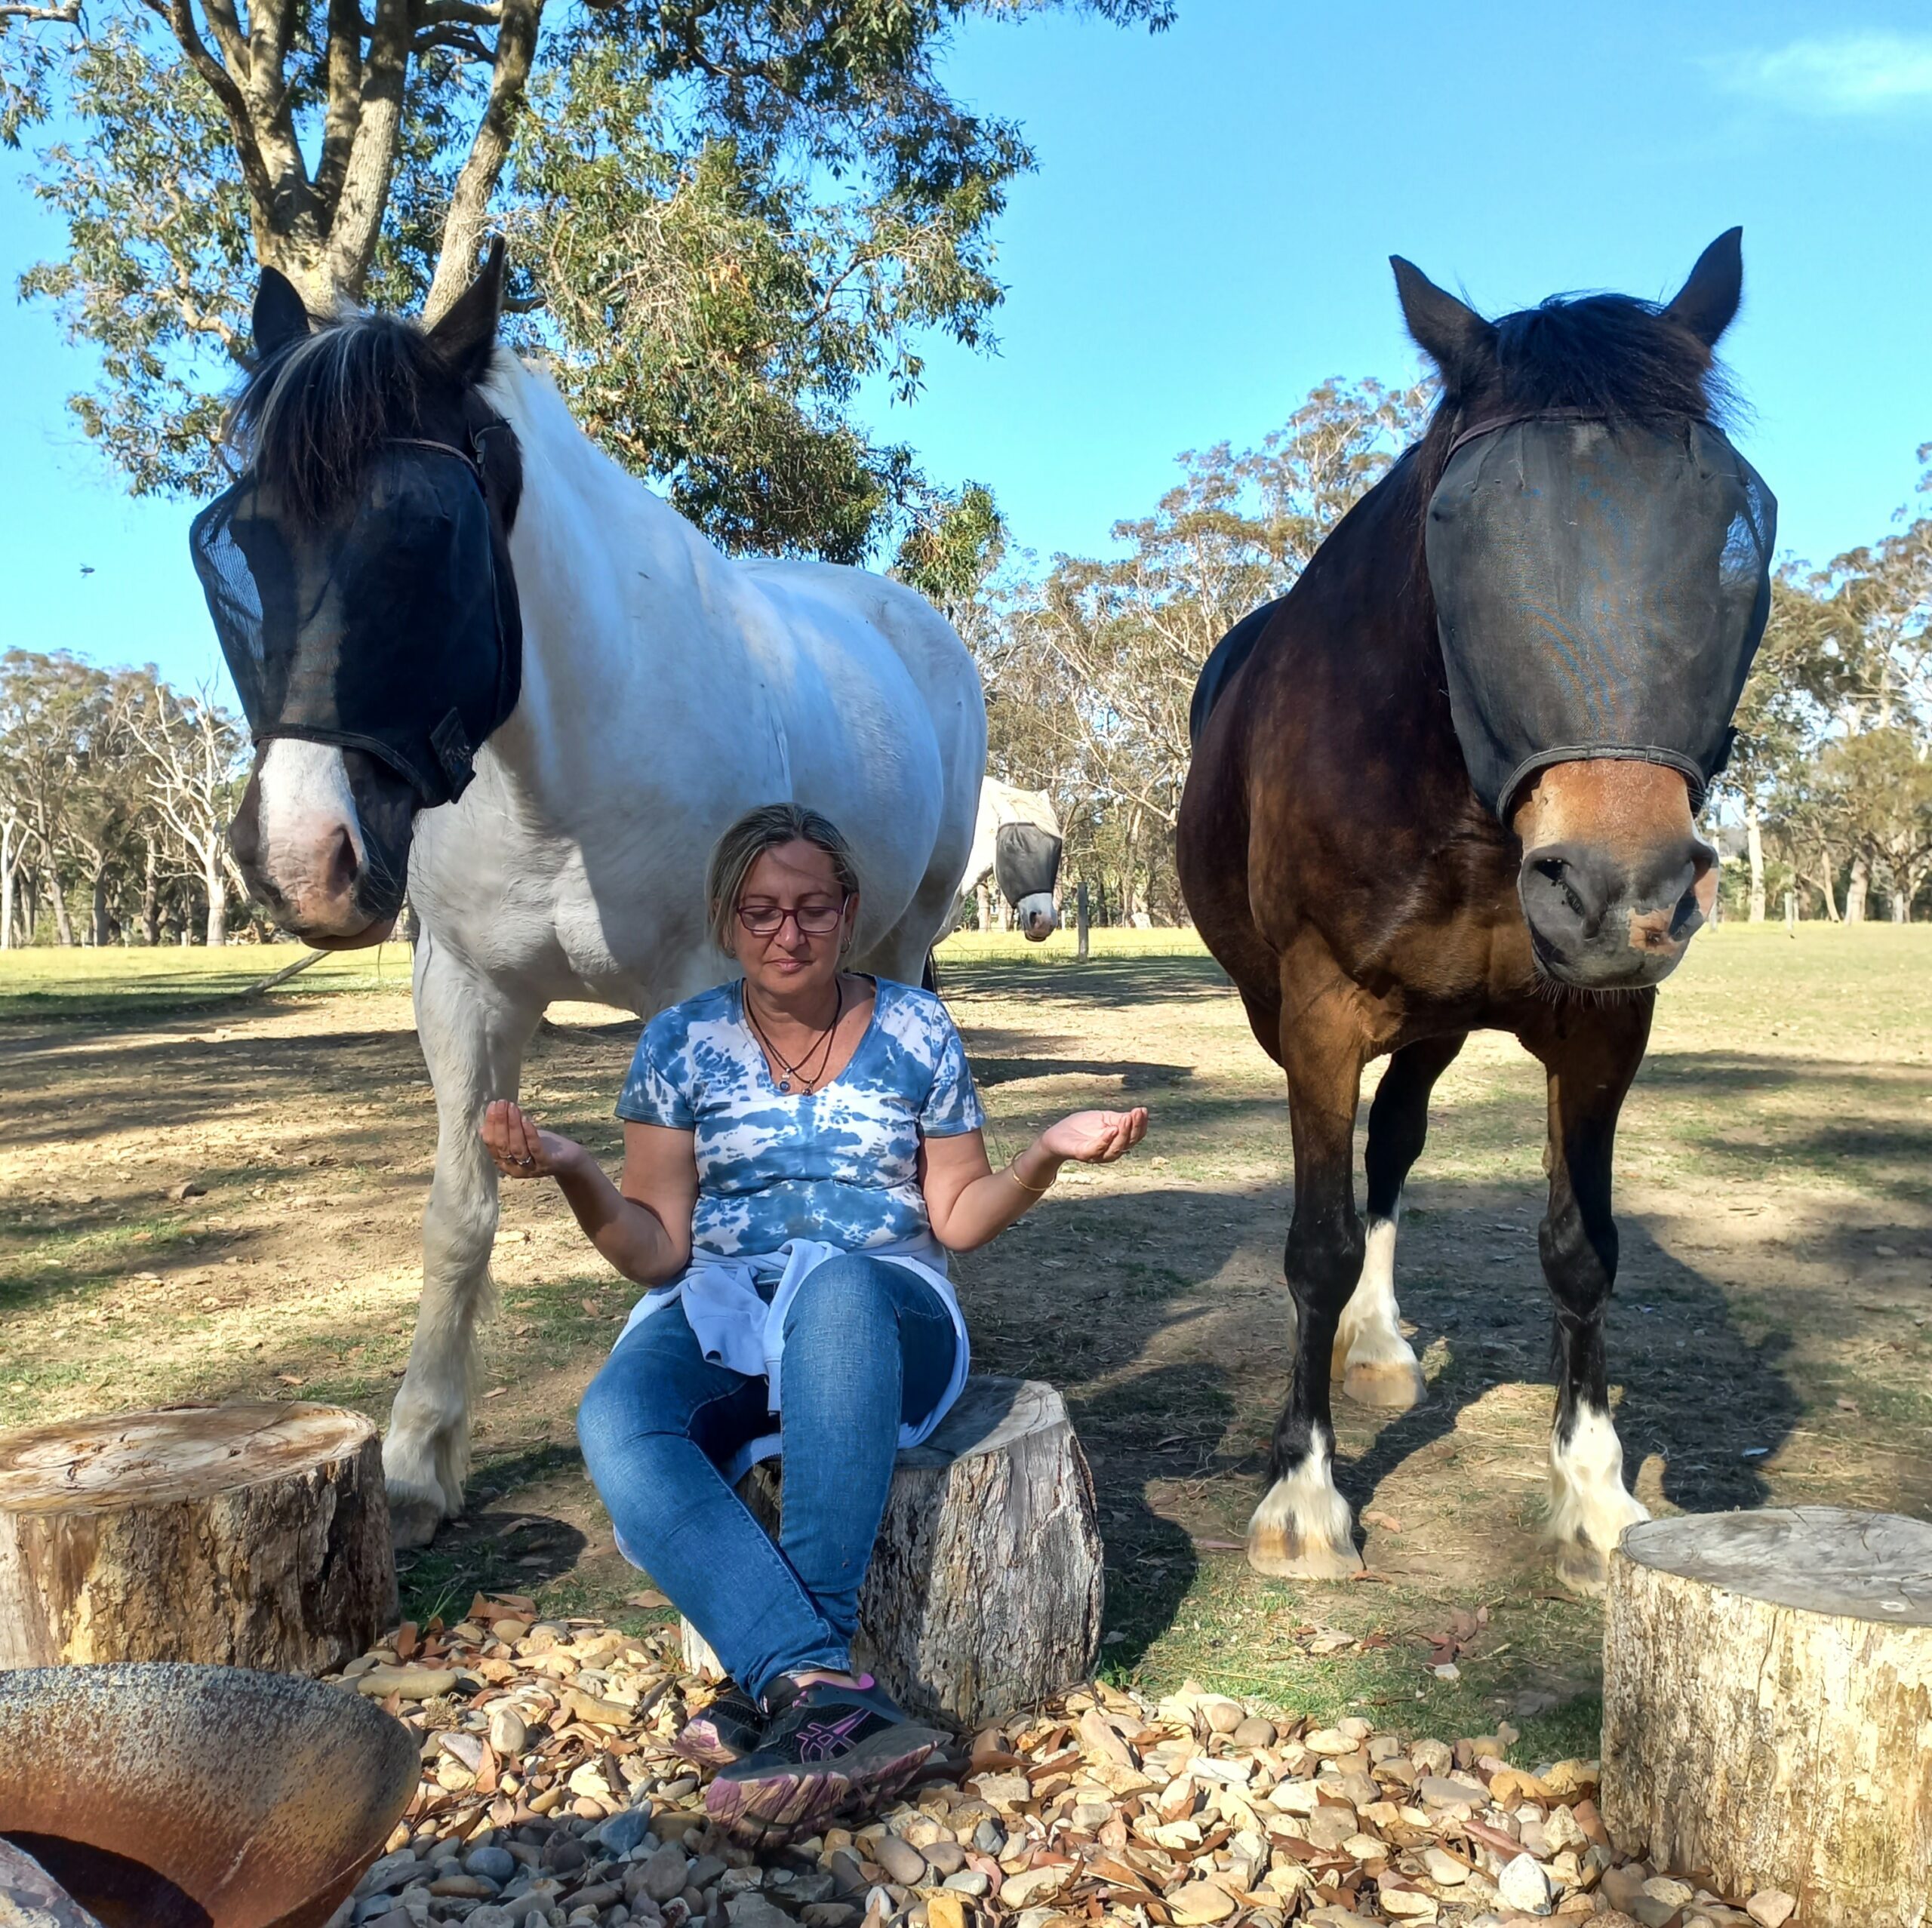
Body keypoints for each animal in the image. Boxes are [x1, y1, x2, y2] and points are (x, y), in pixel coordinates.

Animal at [199, 245, 981, 1537]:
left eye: (422, 541)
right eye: (241, 543)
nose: (301, 859)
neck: (549, 784)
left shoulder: (710, 987)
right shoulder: (464, 992)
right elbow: (461, 1215)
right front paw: (417, 1460)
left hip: (907, 930)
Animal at [1167, 233, 1769, 1591]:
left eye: (1734, 528)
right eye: (1461, 529)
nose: (1620, 890)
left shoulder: (1601, 1027)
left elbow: (1582, 1247)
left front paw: (1595, 1493)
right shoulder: (1322, 1008)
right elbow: (1317, 1242)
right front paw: (1303, 1497)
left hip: (1440, 1022)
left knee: (1394, 1148)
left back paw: (1384, 1342)